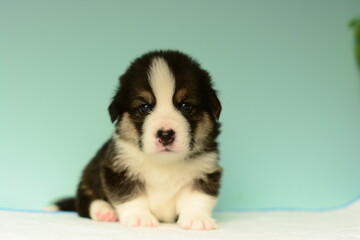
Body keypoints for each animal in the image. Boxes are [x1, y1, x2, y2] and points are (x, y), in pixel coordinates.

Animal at [56, 50, 222, 231]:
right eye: (144, 107)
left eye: (185, 106)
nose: (165, 134)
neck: (164, 162)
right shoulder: (118, 170)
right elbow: (130, 196)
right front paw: (139, 217)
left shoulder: (205, 170)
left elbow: (197, 198)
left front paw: (197, 219)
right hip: (88, 180)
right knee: (84, 203)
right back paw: (104, 211)